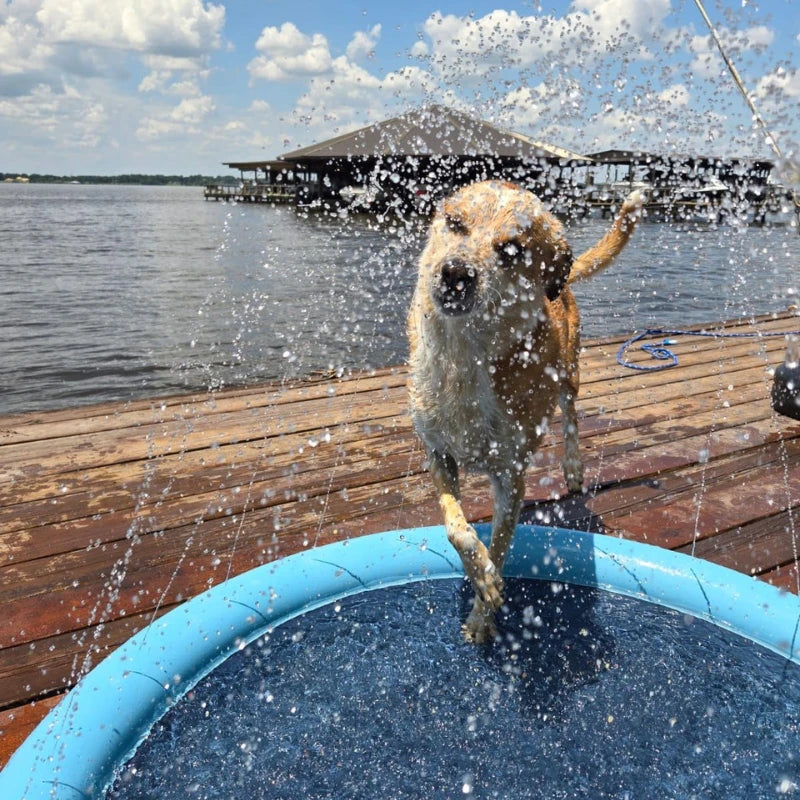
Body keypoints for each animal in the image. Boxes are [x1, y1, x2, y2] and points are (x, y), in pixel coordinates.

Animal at [410, 183, 640, 644]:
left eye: (512, 249)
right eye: (455, 223)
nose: (455, 272)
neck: (465, 358)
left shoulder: (511, 475)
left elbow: (500, 546)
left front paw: (482, 616)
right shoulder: (438, 452)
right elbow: (456, 528)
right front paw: (478, 573)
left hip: (569, 372)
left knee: (571, 416)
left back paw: (573, 467)